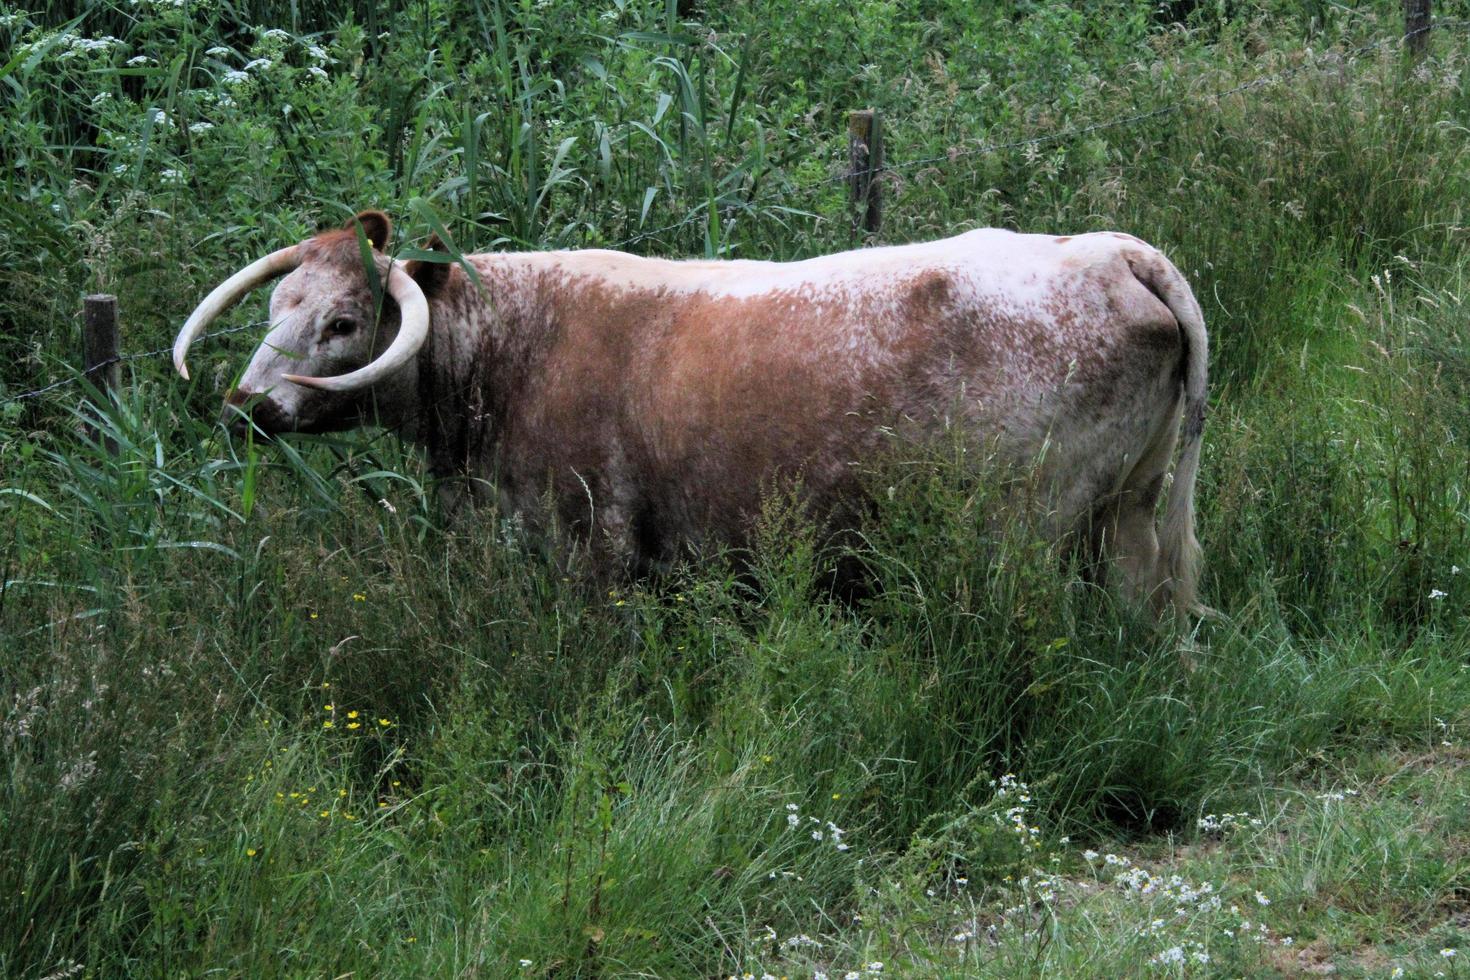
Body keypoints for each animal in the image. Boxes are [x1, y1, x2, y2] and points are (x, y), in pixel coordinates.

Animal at [174, 213, 1205, 614]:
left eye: (343, 321)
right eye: (275, 308)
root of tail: (1112, 249)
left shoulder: (596, 545)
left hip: (1023, 530)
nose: (245, 409)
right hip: (1132, 512)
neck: (512, 349)